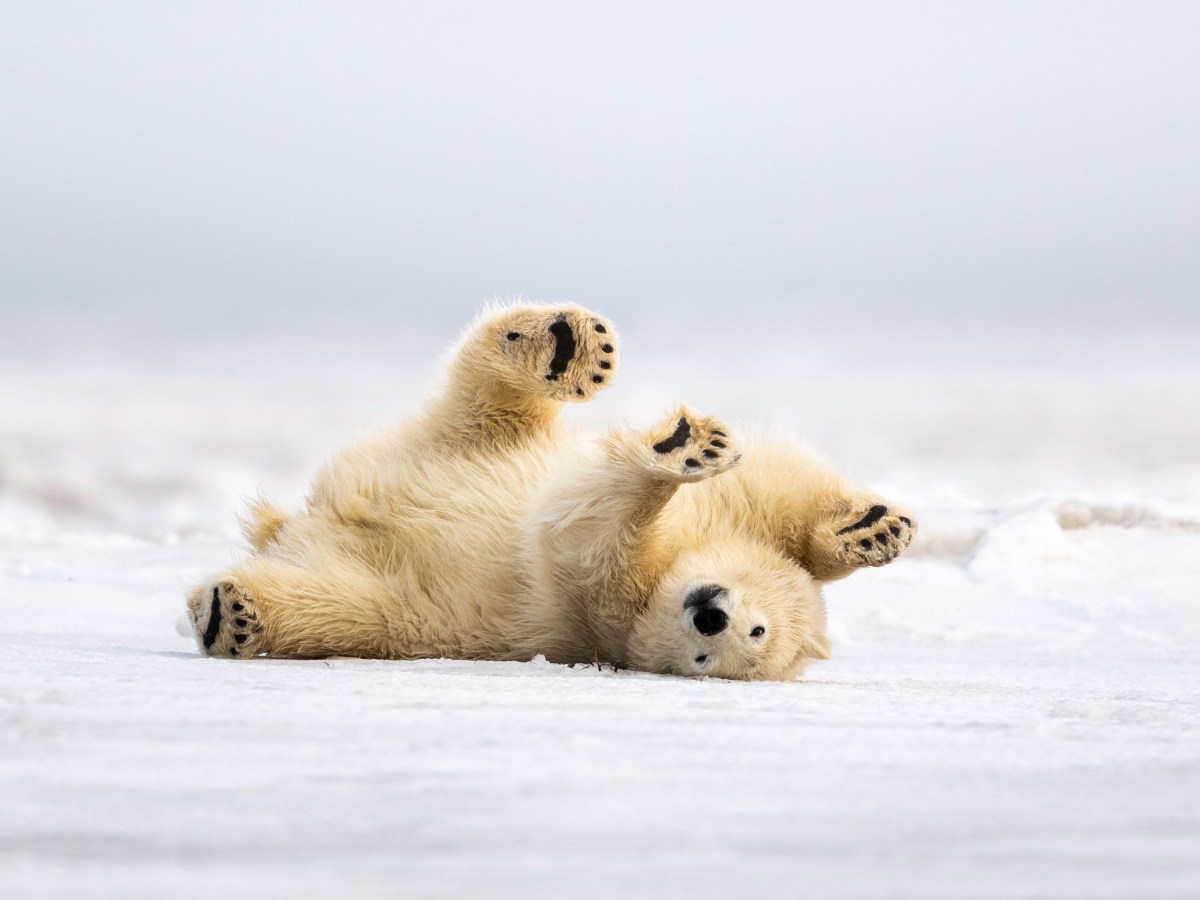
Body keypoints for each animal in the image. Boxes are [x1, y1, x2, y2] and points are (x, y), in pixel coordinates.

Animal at [187, 301, 912, 676]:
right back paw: (566, 347)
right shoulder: (733, 511)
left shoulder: (599, 613)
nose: (711, 615)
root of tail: (304, 518)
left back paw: (232, 612)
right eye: (758, 628)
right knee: (493, 396)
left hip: (398, 605)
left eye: (724, 652)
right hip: (481, 444)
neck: (678, 564)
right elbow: (779, 481)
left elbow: (581, 535)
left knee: (333, 607)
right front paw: (870, 529)